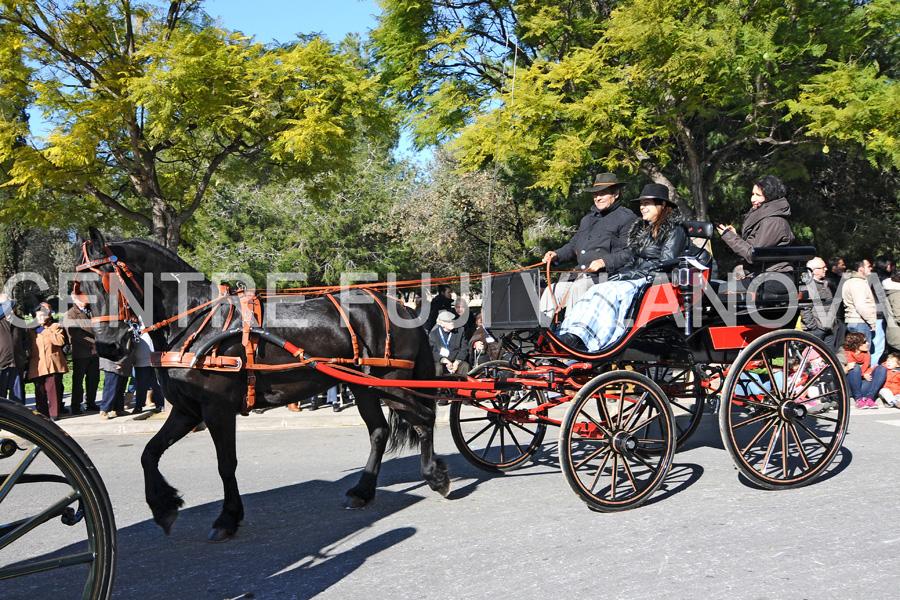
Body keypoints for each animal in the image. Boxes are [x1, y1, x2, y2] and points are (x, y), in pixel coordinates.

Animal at [75, 227, 450, 540]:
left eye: (108, 282)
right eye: (80, 290)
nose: (109, 347)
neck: (197, 319)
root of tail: (402, 307)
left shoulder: (216, 409)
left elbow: (225, 464)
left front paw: (227, 517)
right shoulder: (187, 410)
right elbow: (149, 453)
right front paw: (163, 505)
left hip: (390, 383)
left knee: (424, 419)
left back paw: (435, 475)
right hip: (363, 386)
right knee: (379, 432)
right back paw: (363, 491)